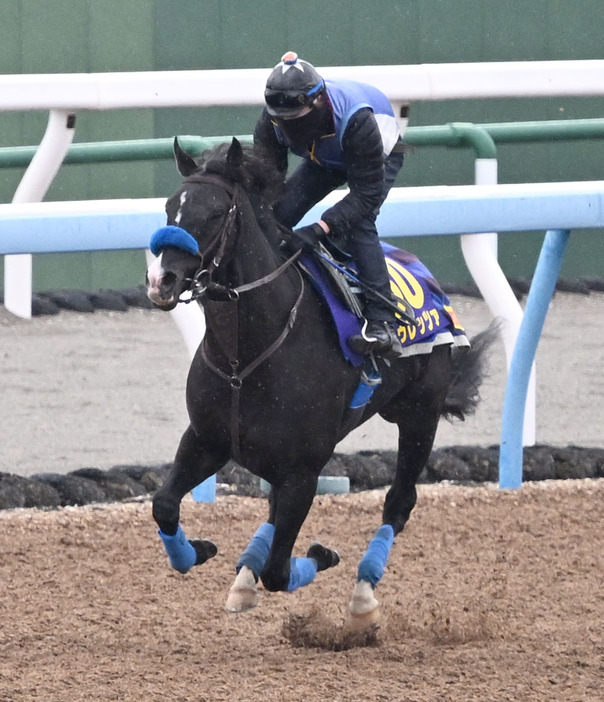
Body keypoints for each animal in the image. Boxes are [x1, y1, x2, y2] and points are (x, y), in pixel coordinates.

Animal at [146, 138, 496, 632]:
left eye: (214, 213)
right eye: (169, 208)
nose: (162, 281)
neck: (243, 358)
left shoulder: (303, 470)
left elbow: (279, 571)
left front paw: (321, 554)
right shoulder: (207, 440)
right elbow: (164, 504)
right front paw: (202, 550)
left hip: (420, 416)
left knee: (399, 502)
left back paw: (362, 598)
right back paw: (245, 575)